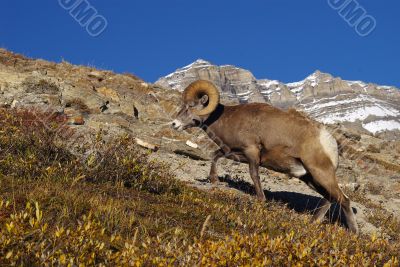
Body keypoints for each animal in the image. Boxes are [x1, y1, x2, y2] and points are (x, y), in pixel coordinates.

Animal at [172, 80, 360, 233]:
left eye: (191, 105)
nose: (174, 124)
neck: (228, 119)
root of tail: (330, 142)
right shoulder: (234, 153)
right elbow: (215, 156)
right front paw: (214, 179)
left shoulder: (252, 152)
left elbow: (254, 175)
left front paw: (261, 200)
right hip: (310, 178)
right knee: (331, 198)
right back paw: (313, 222)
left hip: (321, 174)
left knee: (344, 200)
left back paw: (353, 232)